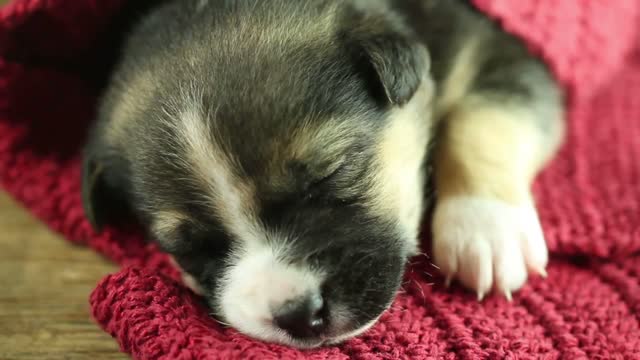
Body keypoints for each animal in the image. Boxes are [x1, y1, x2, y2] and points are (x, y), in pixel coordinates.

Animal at [81, 0, 564, 348]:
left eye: (333, 173)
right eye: (188, 248)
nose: (299, 313)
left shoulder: (499, 50)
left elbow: (482, 118)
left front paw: (488, 228)